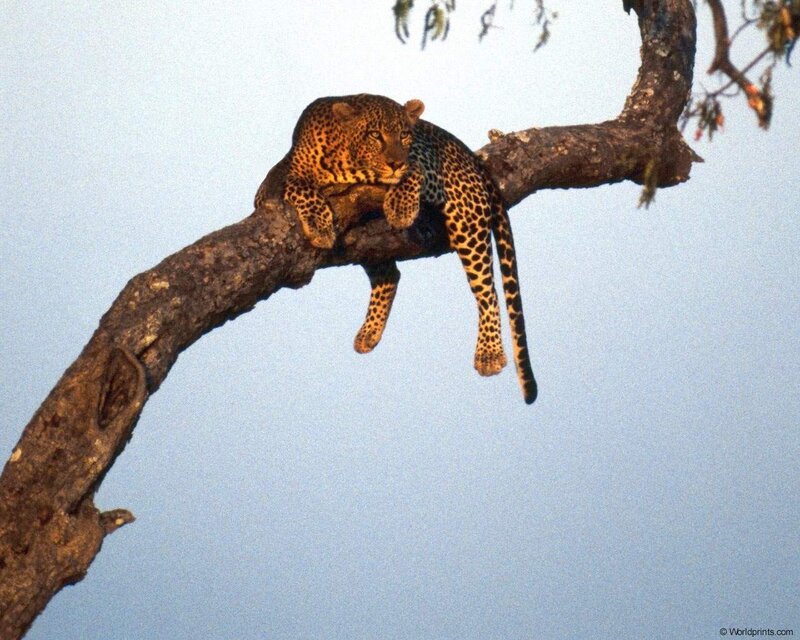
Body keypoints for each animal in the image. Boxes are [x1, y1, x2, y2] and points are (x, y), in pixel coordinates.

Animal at [255, 93, 537, 404]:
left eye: (403, 135)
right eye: (375, 135)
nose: (394, 163)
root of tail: (468, 154)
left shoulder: (421, 161)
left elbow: (413, 172)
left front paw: (401, 206)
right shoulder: (279, 182)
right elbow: (297, 184)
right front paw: (319, 223)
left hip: (468, 219)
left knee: (488, 291)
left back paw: (489, 353)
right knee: (389, 274)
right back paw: (369, 333)